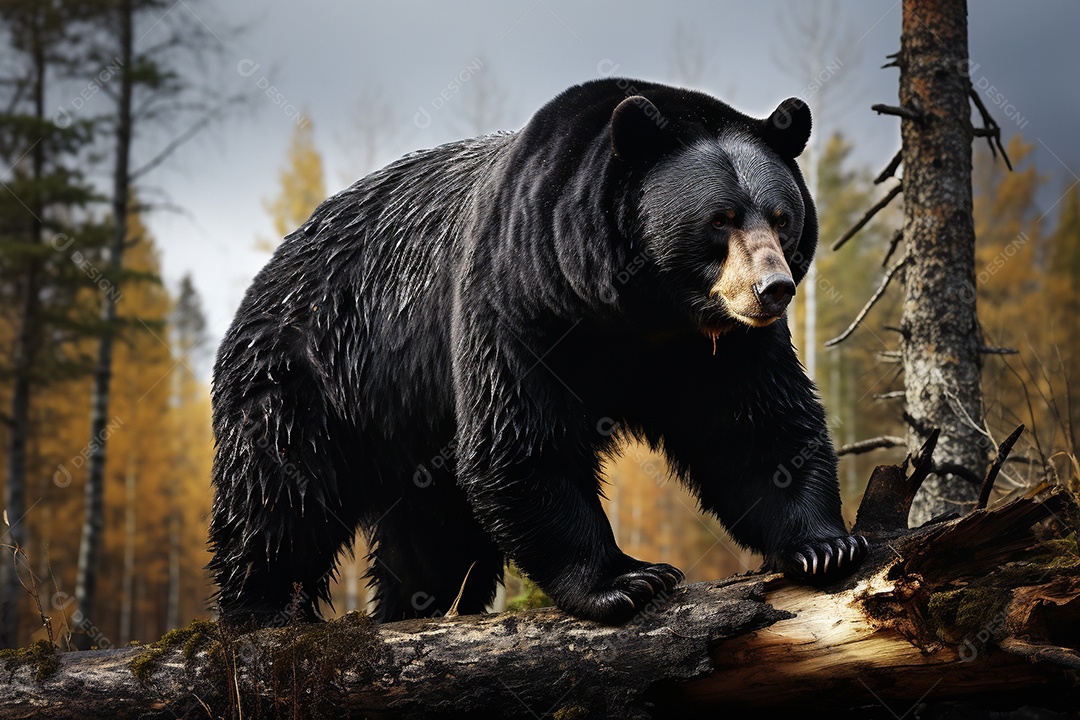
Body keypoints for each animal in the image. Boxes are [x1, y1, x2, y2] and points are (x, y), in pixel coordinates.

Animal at [207, 78, 869, 626]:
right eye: (721, 218)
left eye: (781, 216)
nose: (773, 288)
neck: (635, 305)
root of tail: (274, 263)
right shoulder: (518, 301)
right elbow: (522, 441)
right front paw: (629, 579)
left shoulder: (718, 347)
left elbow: (756, 425)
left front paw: (825, 543)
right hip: (310, 374)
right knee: (280, 496)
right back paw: (263, 613)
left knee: (433, 529)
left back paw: (416, 607)